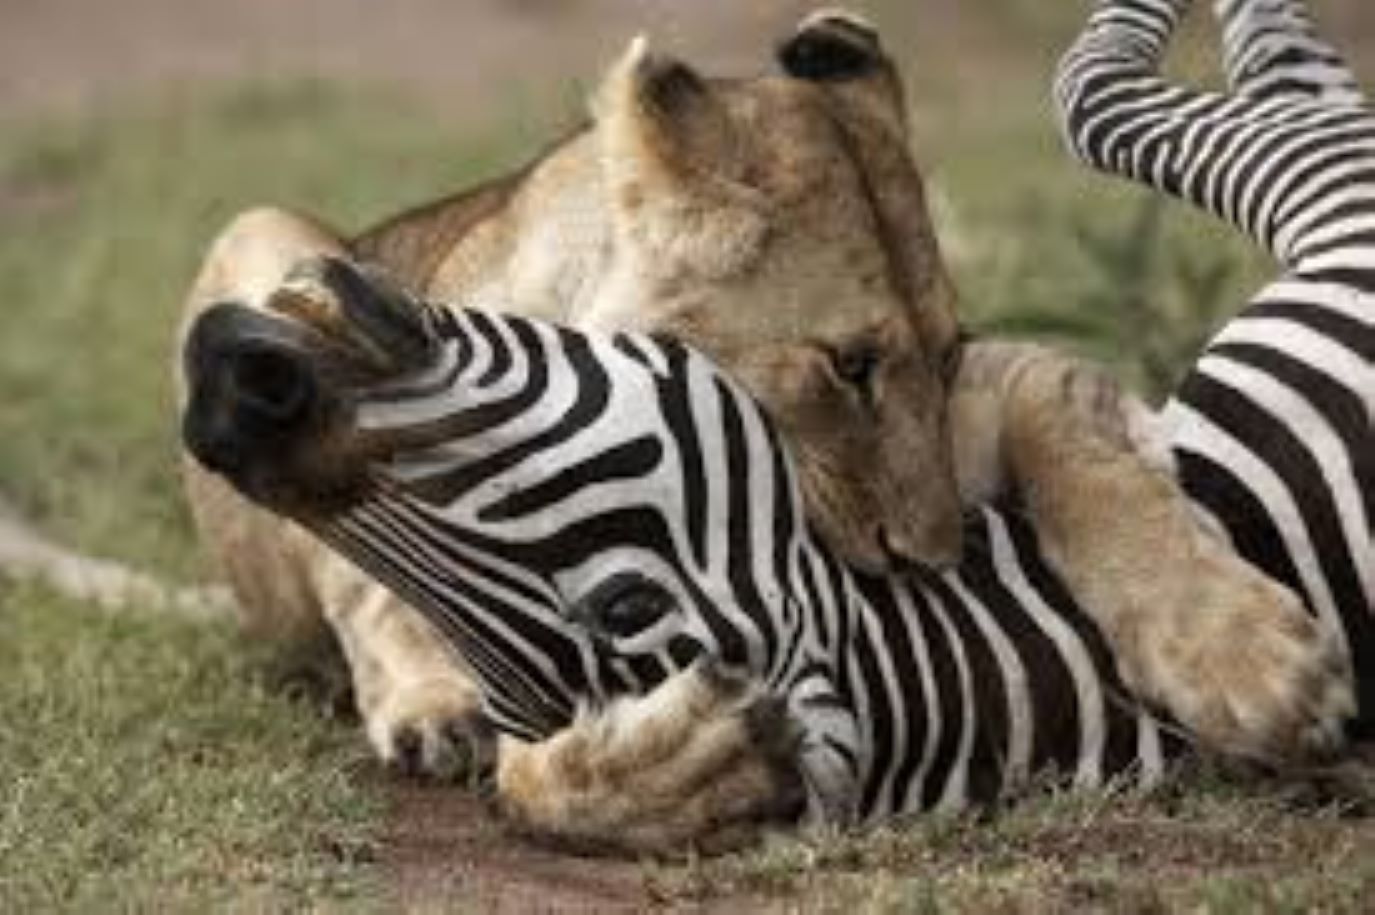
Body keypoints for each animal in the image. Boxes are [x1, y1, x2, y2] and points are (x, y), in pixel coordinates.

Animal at [177, 10, 1350, 844]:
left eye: (946, 350)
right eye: (849, 366)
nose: (943, 555)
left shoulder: (993, 397)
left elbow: (1081, 443)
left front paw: (1236, 652)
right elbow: (520, 746)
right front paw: (685, 760)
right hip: (261, 236)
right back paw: (430, 705)